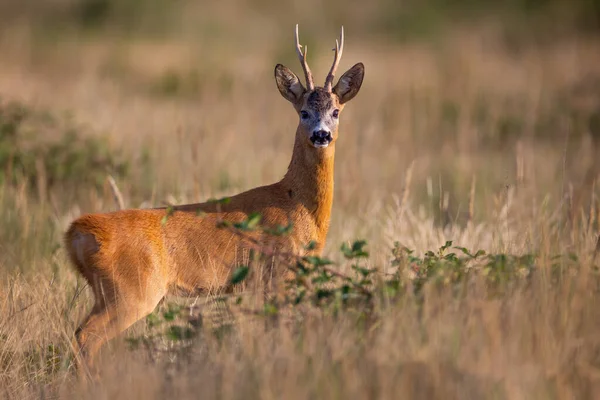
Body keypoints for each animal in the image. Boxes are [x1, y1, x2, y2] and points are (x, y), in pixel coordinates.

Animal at [65, 24, 366, 368]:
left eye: (336, 111)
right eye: (303, 112)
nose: (321, 135)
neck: (296, 205)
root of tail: (77, 233)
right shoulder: (276, 273)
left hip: (106, 291)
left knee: (79, 332)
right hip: (132, 290)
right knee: (87, 336)